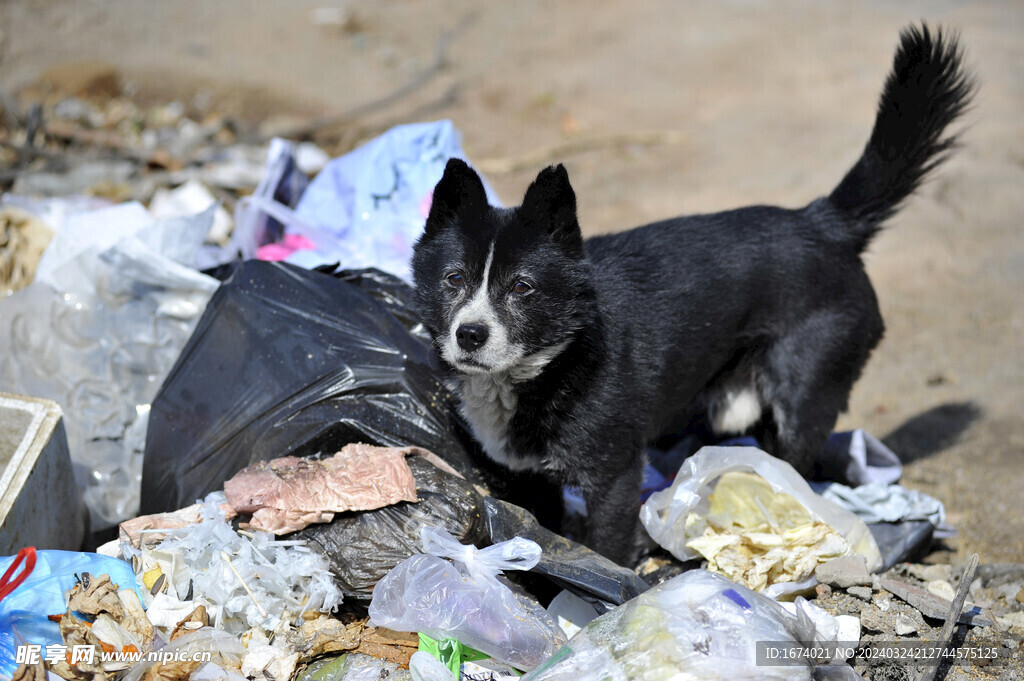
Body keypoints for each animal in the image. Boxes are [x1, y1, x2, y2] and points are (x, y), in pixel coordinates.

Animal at [409, 26, 974, 561]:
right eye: (454, 279)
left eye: (522, 287)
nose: (470, 335)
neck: (552, 362)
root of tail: (824, 221)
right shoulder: (531, 480)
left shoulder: (614, 476)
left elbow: (605, 544)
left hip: (803, 397)